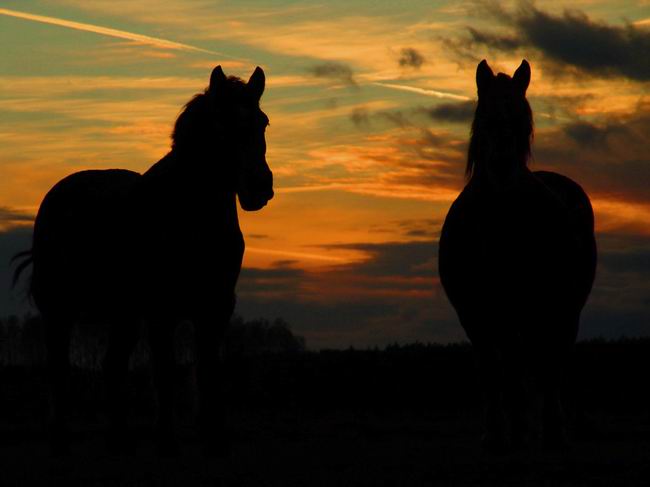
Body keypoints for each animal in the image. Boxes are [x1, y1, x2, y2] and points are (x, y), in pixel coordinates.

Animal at [13, 66, 270, 458]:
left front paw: (214, 437)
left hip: (124, 314)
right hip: (60, 309)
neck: (191, 217)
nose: (259, 187)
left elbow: (208, 370)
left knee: (112, 366)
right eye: (220, 124)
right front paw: (167, 441)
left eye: (262, 123)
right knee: (59, 367)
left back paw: (119, 440)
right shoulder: (162, 309)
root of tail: (56, 195)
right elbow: (164, 371)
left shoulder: (215, 307)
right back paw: (60, 439)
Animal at [438, 60, 596, 450]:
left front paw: (522, 429)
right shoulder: (474, 314)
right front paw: (495, 431)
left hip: (563, 310)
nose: (502, 164)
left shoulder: (524, 306)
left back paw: (552, 428)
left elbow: (522, 367)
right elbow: (491, 370)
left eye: (523, 120)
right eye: (485, 116)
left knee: (552, 362)